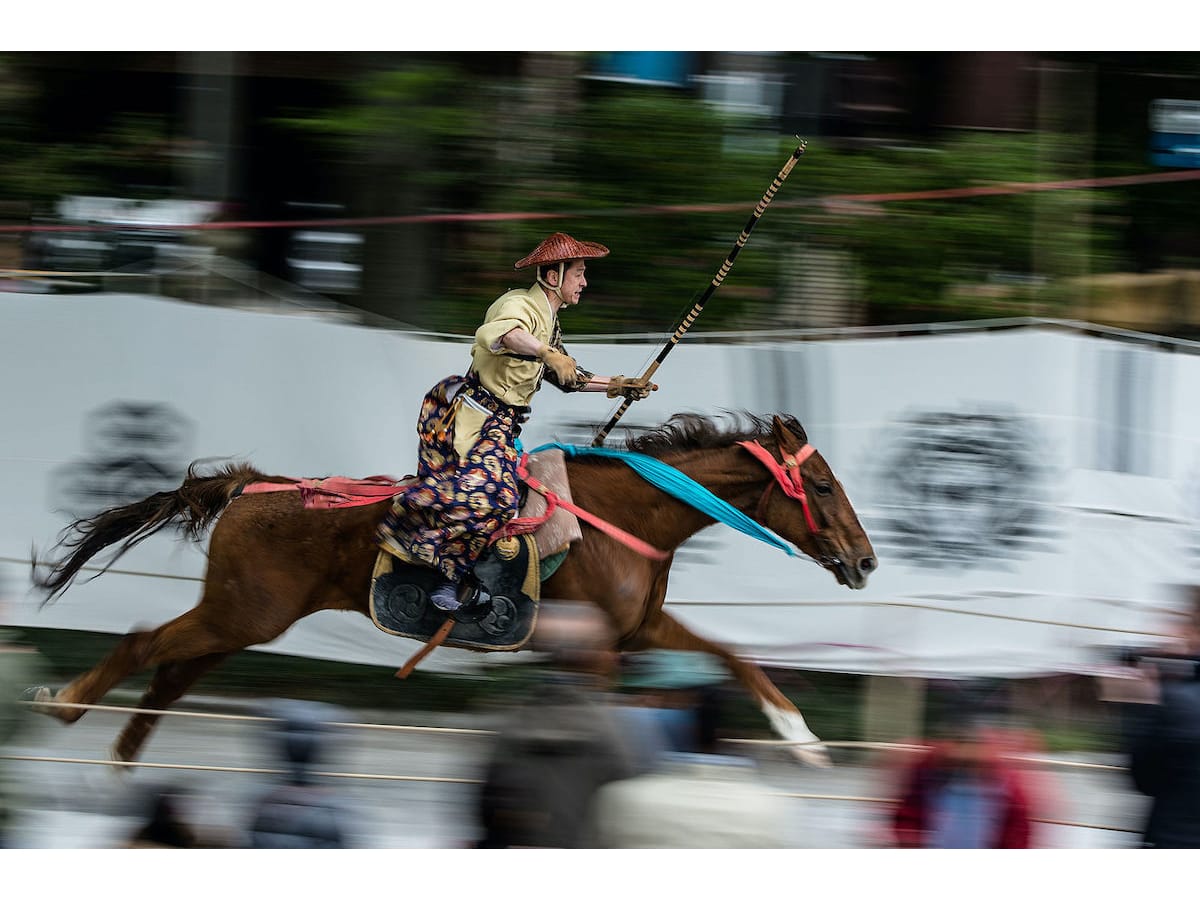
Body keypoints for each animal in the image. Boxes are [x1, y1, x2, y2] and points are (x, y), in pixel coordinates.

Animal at [32, 412, 878, 763]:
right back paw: (64, 704)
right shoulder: (600, 647)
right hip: (244, 610)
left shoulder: (638, 631)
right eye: (823, 485)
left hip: (244, 616)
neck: (619, 515)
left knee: (171, 671)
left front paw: (801, 737)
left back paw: (123, 756)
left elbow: (735, 656)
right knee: (144, 645)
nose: (866, 561)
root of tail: (254, 486)